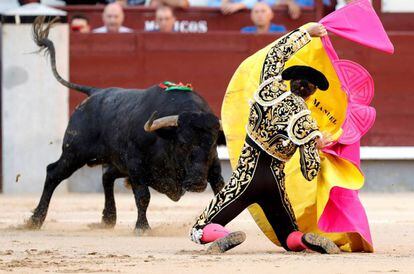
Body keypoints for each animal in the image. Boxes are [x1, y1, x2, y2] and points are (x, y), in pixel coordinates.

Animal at [26, 17, 223, 232]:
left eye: (213, 143)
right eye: (182, 144)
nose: (197, 183)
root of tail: (96, 92)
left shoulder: (214, 164)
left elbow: (220, 188)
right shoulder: (136, 165)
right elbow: (143, 196)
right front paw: (142, 228)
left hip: (113, 159)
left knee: (106, 176)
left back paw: (108, 219)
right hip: (75, 153)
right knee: (53, 173)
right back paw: (35, 220)